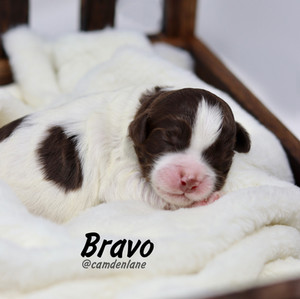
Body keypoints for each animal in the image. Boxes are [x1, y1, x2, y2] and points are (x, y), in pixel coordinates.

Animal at [0, 87, 251, 223]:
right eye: (167, 139)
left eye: (221, 155)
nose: (190, 179)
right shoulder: (120, 176)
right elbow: (148, 196)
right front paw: (204, 202)